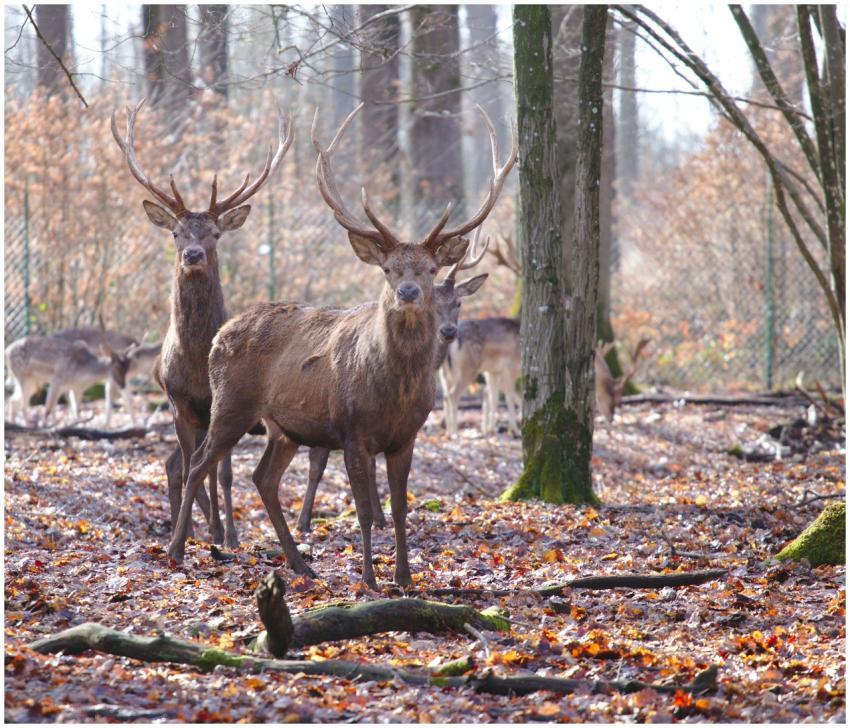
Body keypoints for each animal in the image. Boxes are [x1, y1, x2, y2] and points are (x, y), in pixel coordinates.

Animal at [111, 99, 293, 548]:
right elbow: (194, 464)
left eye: (214, 233)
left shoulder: (221, 405)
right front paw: (192, 530)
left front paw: (228, 535)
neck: (195, 361)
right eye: (176, 232)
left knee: (197, 464)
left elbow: (222, 473)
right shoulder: (179, 405)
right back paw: (191, 525)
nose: (192, 254)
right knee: (175, 462)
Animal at [296, 230, 490, 533]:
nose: (448, 332)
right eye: (435, 304)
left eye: (458, 303)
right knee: (315, 460)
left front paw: (380, 517)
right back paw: (303, 521)